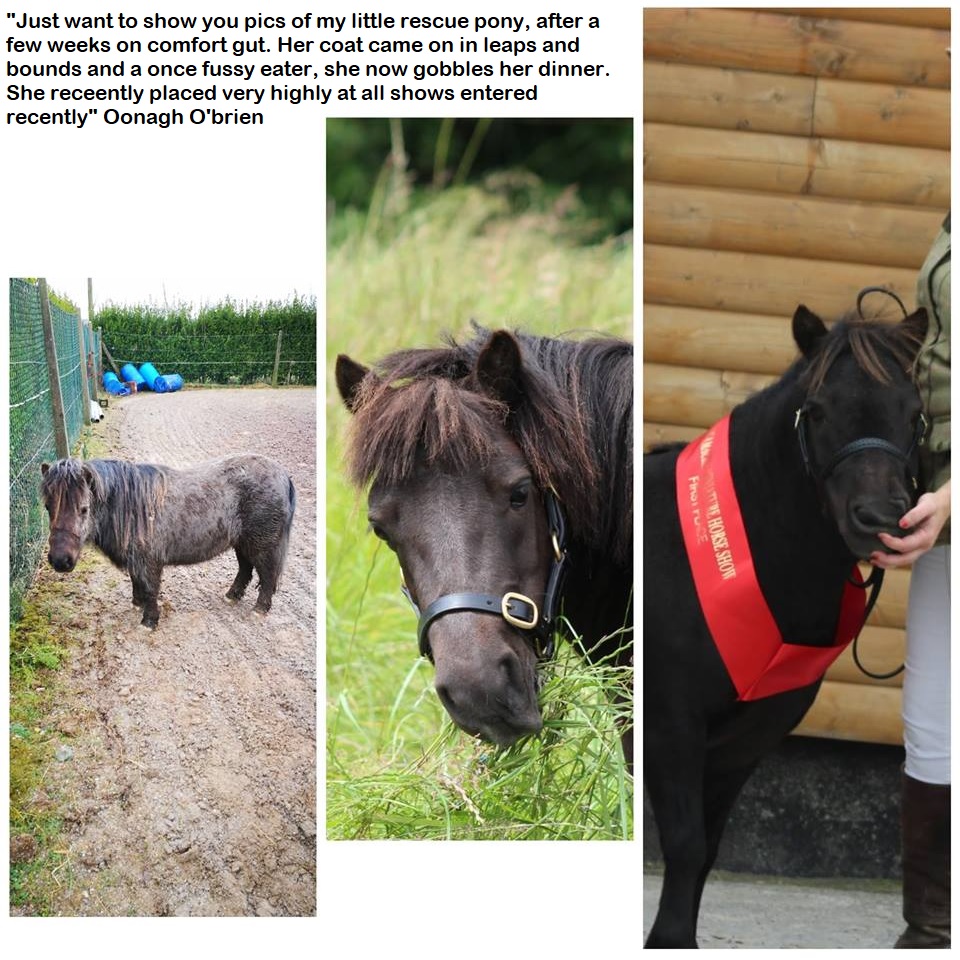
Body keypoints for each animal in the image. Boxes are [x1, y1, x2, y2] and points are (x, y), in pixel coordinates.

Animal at [40, 454, 296, 628]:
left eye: (84, 509)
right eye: (47, 507)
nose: (60, 561)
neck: (132, 509)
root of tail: (283, 475)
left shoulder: (149, 561)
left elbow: (151, 588)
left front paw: (149, 620)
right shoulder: (137, 560)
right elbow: (137, 582)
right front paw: (137, 603)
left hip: (263, 545)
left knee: (268, 574)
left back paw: (260, 608)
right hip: (242, 543)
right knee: (245, 569)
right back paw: (232, 596)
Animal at [644, 304, 929, 947]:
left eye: (914, 413)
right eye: (818, 409)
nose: (878, 520)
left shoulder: (747, 737)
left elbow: (705, 850)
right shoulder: (669, 725)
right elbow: (684, 843)